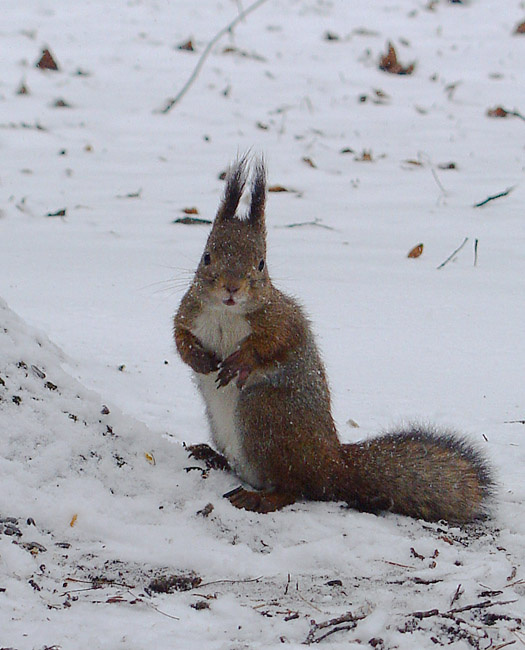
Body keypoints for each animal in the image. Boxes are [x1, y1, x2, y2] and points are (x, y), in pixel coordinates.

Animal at [174, 156, 494, 522]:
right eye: (207, 256)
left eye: (261, 263)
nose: (231, 288)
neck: (226, 313)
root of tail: (330, 463)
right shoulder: (189, 311)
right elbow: (179, 337)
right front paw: (198, 358)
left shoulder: (282, 317)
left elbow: (277, 342)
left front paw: (241, 360)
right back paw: (211, 456)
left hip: (265, 415)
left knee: (294, 488)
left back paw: (260, 497)